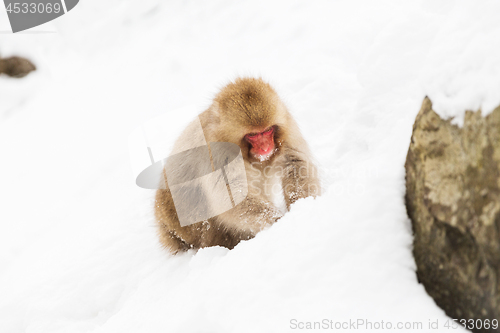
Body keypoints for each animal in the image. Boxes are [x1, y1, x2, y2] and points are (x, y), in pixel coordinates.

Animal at [154, 78, 322, 253]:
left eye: (267, 131)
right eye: (253, 135)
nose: (265, 148)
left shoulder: (287, 127)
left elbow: (296, 163)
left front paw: (302, 207)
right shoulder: (217, 151)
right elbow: (230, 193)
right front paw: (277, 221)